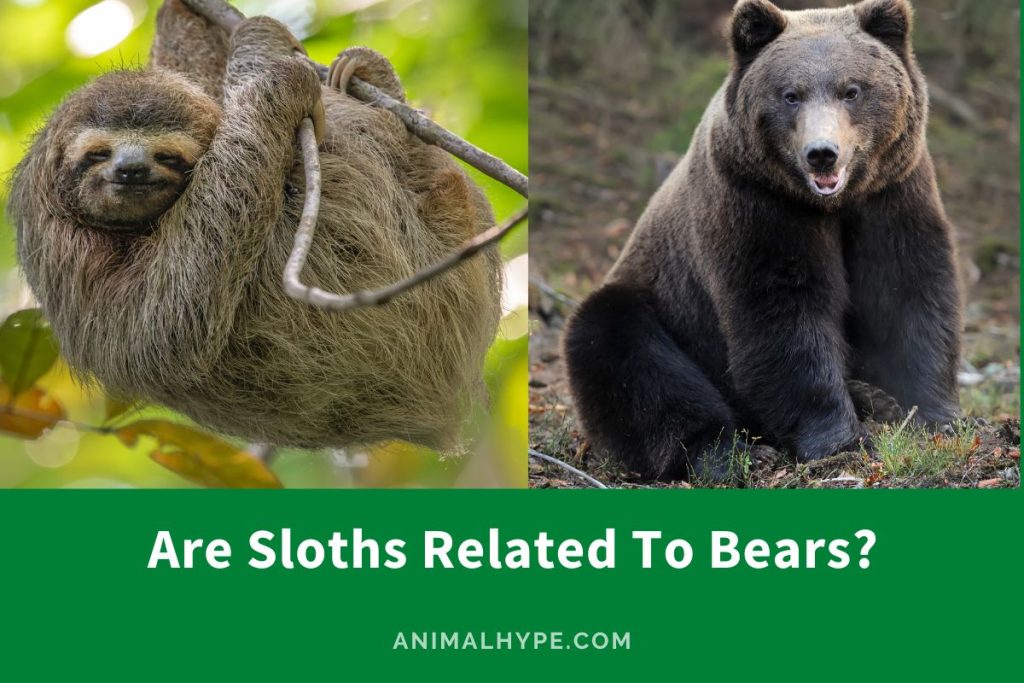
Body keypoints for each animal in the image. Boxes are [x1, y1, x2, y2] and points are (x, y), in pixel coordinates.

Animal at [563, 0, 962, 481]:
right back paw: (731, 452)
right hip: (657, 303)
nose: (822, 152)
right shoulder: (758, 206)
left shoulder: (892, 196)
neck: (832, 205)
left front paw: (934, 415)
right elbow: (782, 315)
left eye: (852, 90)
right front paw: (840, 440)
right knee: (629, 358)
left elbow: (907, 294)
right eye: (791, 94)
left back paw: (873, 398)